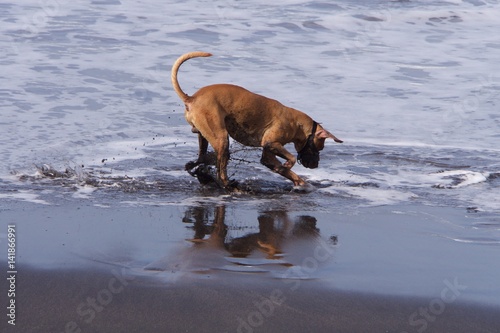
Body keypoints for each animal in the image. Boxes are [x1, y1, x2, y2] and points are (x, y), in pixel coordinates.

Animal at [170, 50, 342, 188]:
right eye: (319, 148)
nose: (316, 165)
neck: (298, 123)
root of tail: (191, 98)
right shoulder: (271, 143)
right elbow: (292, 158)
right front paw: (289, 165)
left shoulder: (268, 155)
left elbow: (285, 170)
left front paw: (300, 182)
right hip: (221, 138)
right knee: (221, 170)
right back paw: (227, 183)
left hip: (205, 136)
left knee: (202, 157)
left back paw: (199, 167)